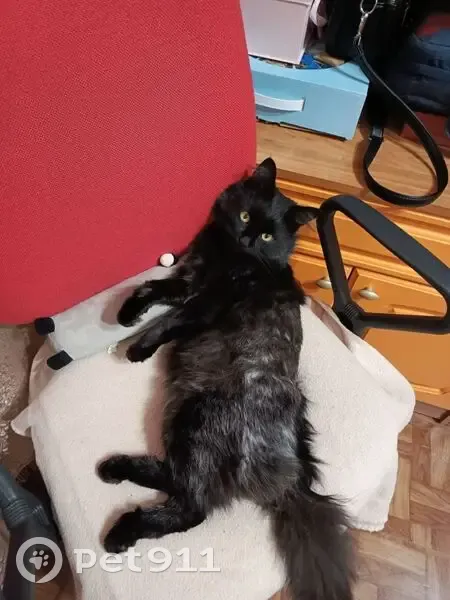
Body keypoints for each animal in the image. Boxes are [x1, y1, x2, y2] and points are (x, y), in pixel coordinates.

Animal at [98, 158, 355, 600]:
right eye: (247, 216)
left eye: (267, 234)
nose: (247, 237)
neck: (226, 254)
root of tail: (291, 478)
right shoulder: (188, 280)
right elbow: (152, 287)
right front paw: (126, 314)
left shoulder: (204, 302)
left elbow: (167, 322)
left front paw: (136, 349)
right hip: (186, 425)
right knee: (181, 482)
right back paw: (113, 469)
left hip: (196, 417)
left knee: (193, 506)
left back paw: (121, 530)